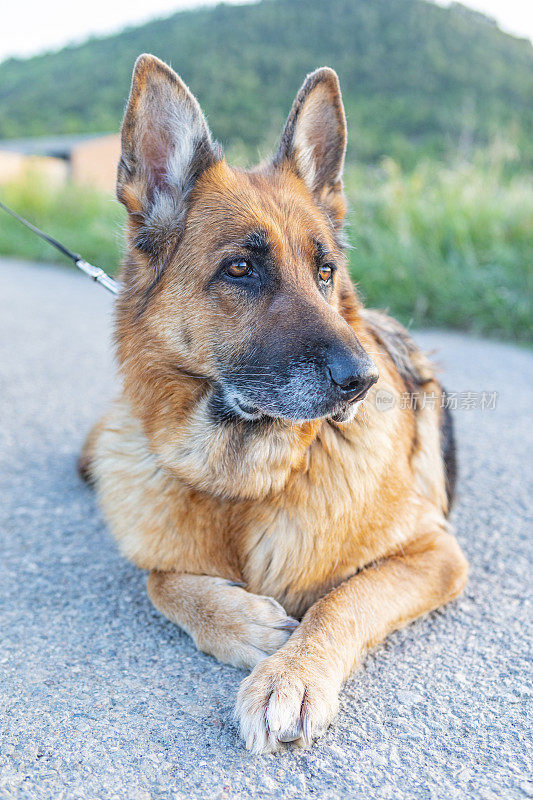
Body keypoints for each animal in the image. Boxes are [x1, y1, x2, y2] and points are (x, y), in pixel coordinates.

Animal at [79, 54, 466, 752]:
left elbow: (342, 599)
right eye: (240, 269)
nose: (363, 381)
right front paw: (244, 623)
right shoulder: (162, 555)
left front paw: (294, 675)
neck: (243, 487)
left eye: (325, 272)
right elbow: (158, 579)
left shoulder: (436, 554)